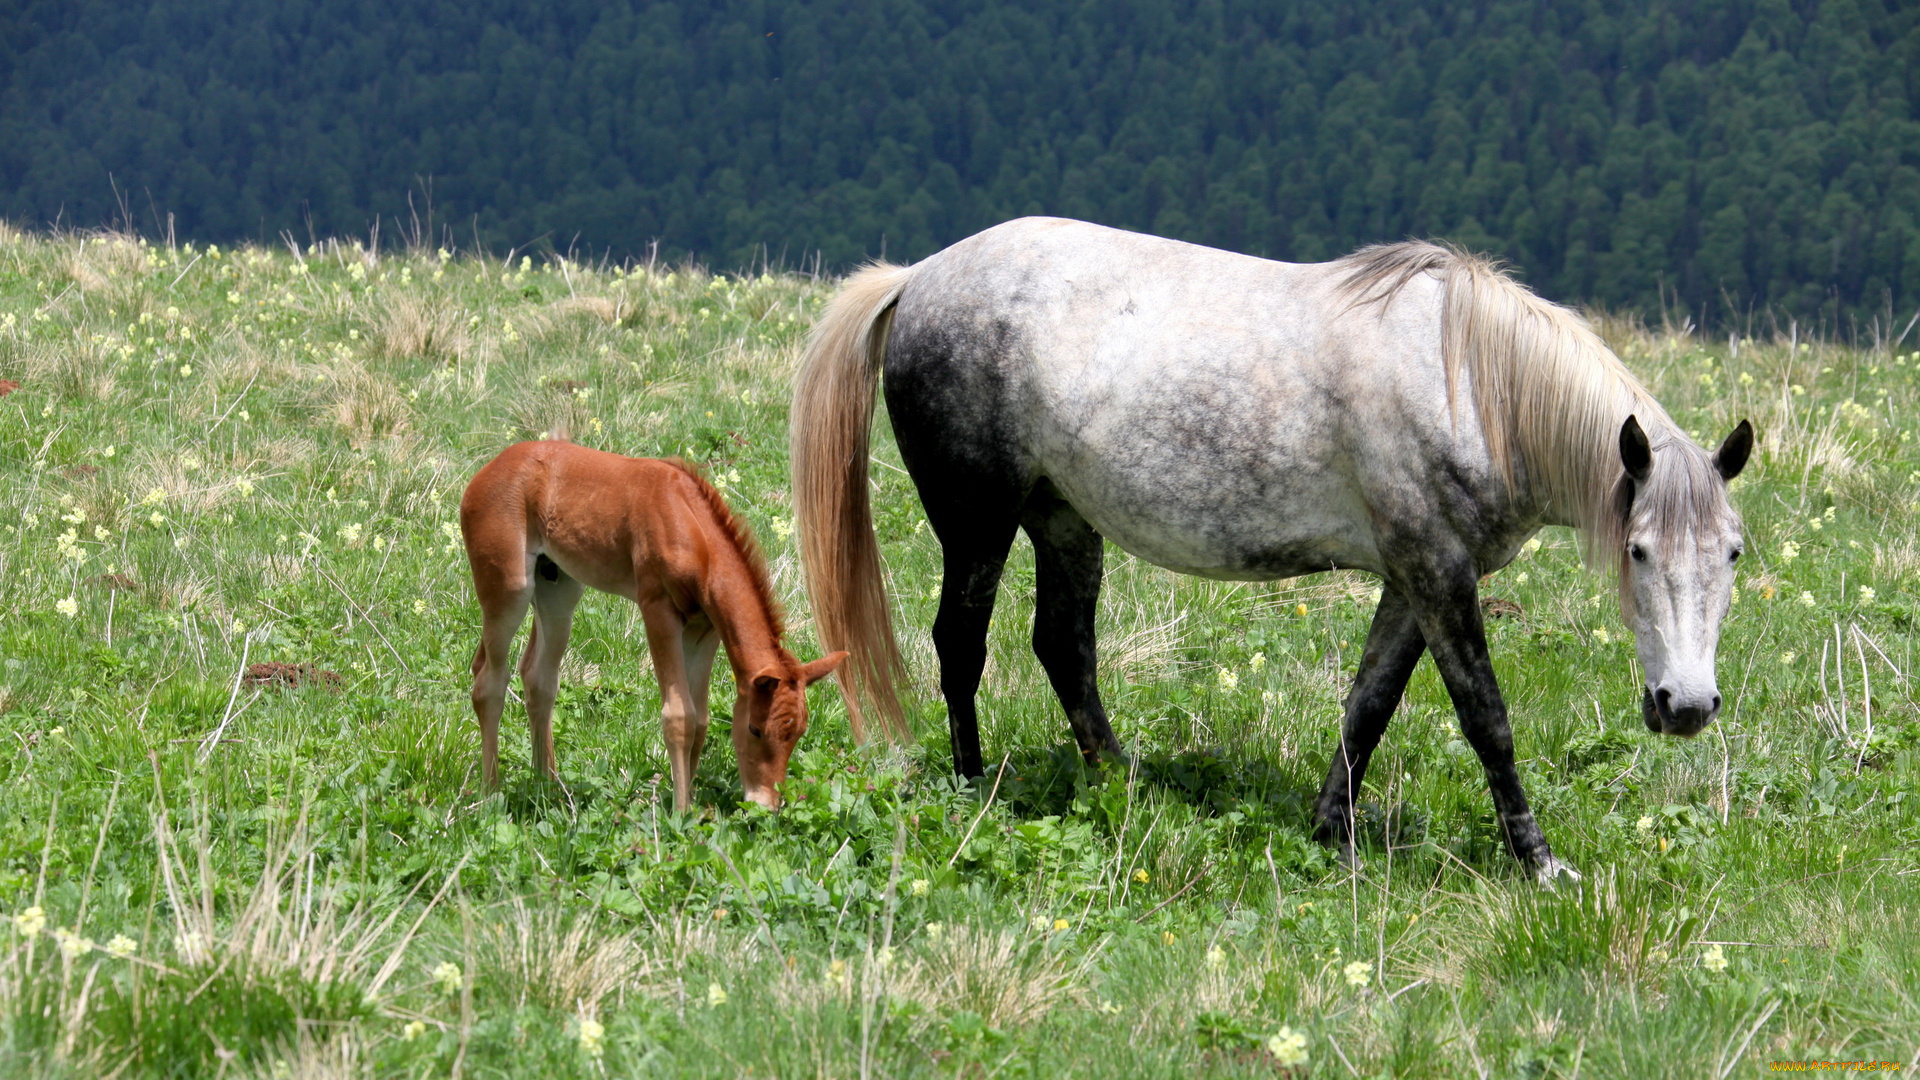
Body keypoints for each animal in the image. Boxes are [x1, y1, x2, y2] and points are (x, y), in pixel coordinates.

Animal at [460, 440, 844, 807]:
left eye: (798, 733)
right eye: (754, 729)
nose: (765, 803)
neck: (689, 524)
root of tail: (485, 472)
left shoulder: (704, 628)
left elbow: (700, 719)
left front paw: (691, 807)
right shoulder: (657, 610)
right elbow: (679, 716)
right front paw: (679, 813)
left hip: (558, 589)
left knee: (538, 677)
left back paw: (547, 787)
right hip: (509, 587)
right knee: (488, 681)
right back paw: (490, 794)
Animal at [787, 216, 1751, 876]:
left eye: (1734, 553)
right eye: (1636, 552)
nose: (1686, 705)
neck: (1469, 382)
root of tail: (918, 278)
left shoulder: (1413, 579)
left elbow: (1368, 706)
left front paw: (1334, 833)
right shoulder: (1439, 574)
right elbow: (1486, 718)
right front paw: (1539, 862)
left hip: (1062, 519)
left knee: (1063, 646)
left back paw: (1124, 783)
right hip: (978, 522)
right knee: (962, 644)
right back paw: (973, 784)